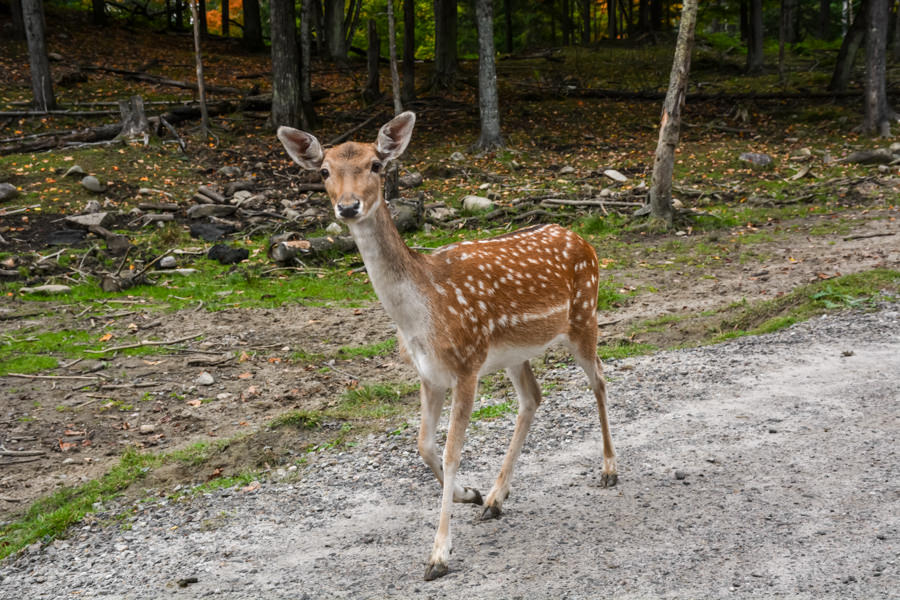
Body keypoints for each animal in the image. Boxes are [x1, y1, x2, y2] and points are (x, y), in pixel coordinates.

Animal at [278, 111, 616, 580]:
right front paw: (469, 493)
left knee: (599, 378)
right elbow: (423, 446)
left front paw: (439, 554)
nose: (347, 206)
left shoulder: (467, 365)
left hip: (584, 315)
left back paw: (608, 470)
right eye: (325, 171)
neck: (422, 313)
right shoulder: (428, 374)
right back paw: (494, 498)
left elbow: (453, 451)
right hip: (516, 352)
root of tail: (583, 239)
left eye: (376, 165)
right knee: (532, 398)